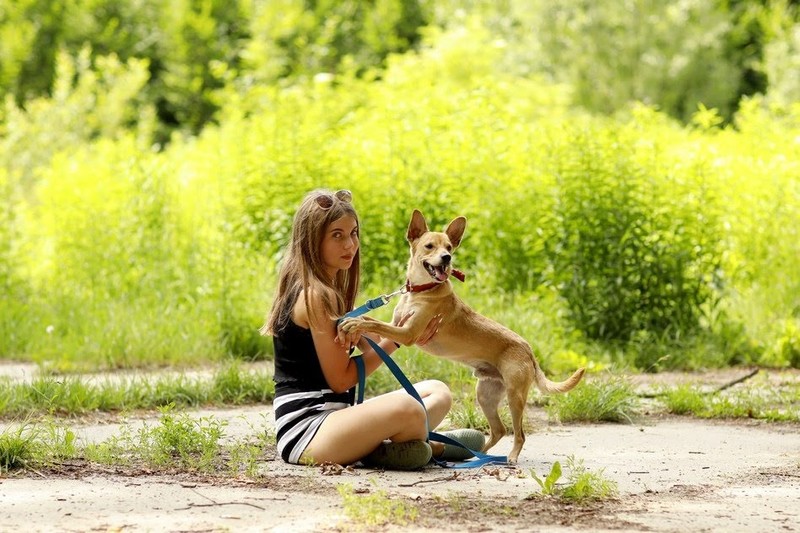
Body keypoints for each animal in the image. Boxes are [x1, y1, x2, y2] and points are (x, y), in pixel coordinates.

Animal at [336, 209, 580, 462]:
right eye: (430, 246)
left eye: (449, 247)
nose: (446, 258)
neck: (420, 291)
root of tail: (528, 349)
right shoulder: (395, 326)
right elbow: (372, 323)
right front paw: (351, 322)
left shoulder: (407, 333)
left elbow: (374, 324)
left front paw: (354, 322)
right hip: (486, 396)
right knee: (499, 430)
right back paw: (477, 455)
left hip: (515, 397)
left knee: (519, 434)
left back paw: (510, 457)